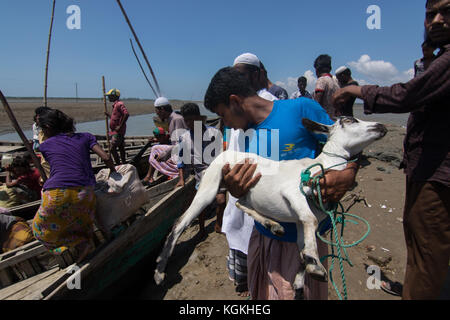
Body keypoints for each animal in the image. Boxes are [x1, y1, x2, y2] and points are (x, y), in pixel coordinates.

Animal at [155, 117, 386, 290]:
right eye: (350, 120)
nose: (381, 126)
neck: (321, 167)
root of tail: (227, 152)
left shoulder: (300, 222)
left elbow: (303, 245)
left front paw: (303, 275)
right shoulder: (293, 193)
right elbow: (310, 220)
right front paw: (315, 266)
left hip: (241, 189)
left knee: (240, 203)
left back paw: (273, 225)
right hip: (209, 187)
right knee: (180, 222)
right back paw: (159, 271)